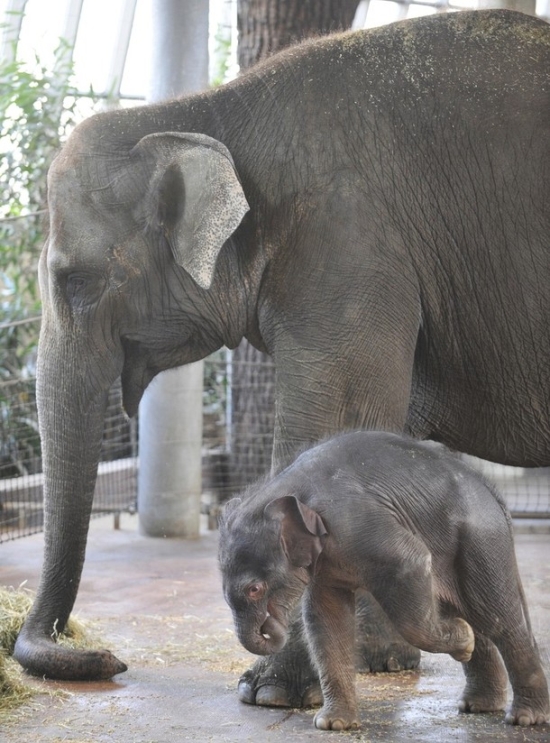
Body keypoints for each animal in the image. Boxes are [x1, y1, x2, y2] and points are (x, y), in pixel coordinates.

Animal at [220, 434, 550, 728]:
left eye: (254, 589)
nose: (271, 624)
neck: (283, 488)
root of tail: (492, 491)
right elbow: (327, 618)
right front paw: (334, 725)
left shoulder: (355, 521)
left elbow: (411, 562)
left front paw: (462, 639)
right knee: (469, 611)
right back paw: (478, 705)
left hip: (481, 539)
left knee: (497, 617)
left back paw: (525, 717)